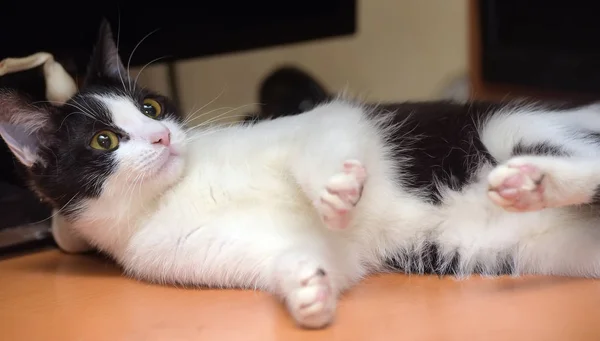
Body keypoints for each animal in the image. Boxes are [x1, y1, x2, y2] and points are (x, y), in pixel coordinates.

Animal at [3, 21, 600, 330]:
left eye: (150, 108)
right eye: (104, 141)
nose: (163, 138)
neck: (176, 191)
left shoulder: (330, 121)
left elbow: (320, 143)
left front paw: (335, 191)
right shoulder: (194, 247)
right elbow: (313, 257)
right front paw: (306, 289)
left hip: (506, 125)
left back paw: (531, 179)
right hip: (557, 247)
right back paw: (532, 188)